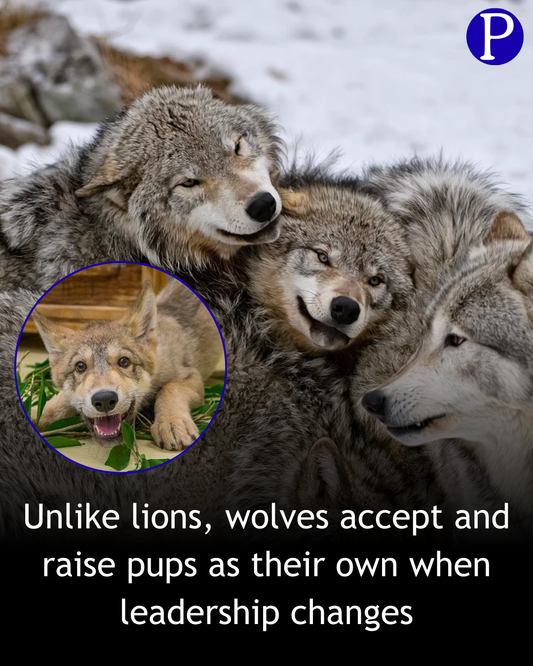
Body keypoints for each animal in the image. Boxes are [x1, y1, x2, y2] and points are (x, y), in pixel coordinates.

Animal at [32, 278, 223, 450]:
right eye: (80, 366)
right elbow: (57, 404)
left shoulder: (191, 376)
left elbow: (170, 389)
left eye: (124, 361)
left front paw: (172, 423)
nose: (104, 400)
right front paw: (35, 414)